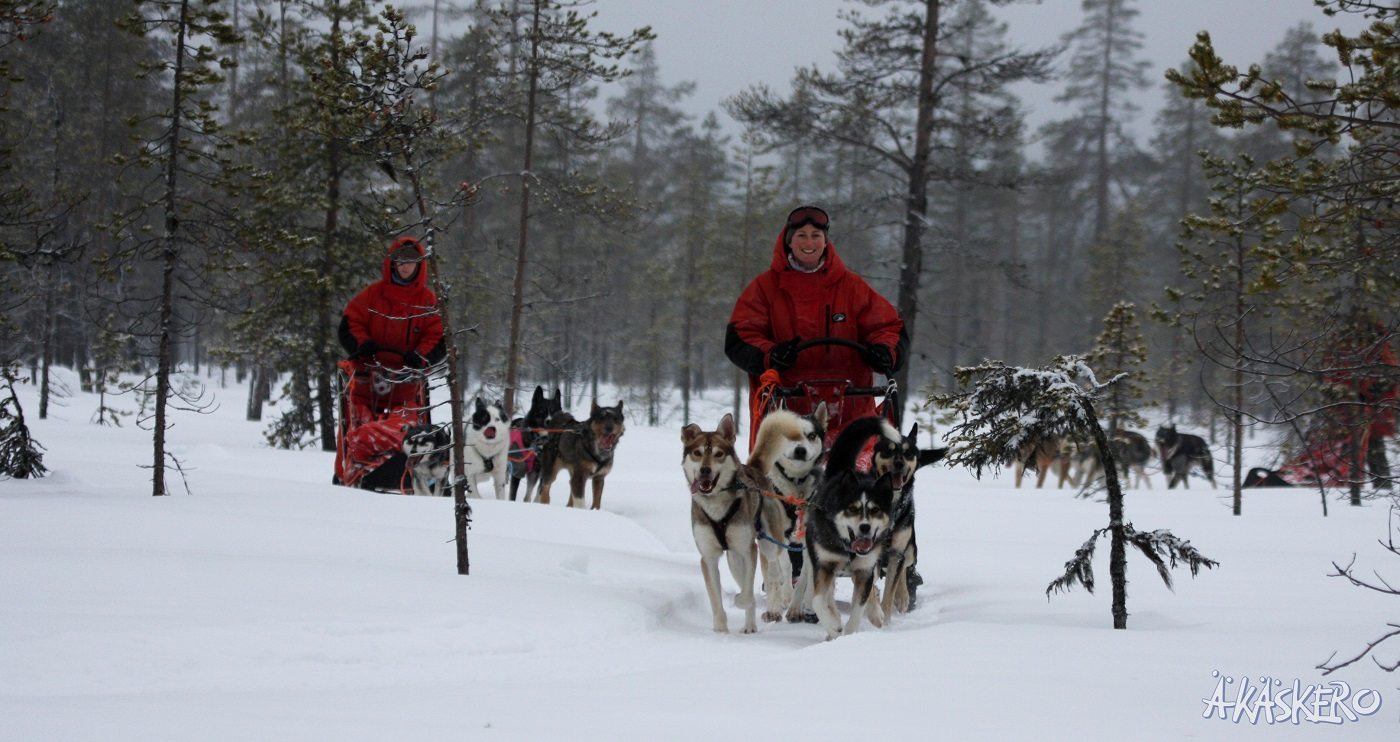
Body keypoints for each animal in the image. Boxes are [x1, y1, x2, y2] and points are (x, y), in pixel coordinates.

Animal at [683, 411, 761, 632]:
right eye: (697, 453)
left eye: (718, 454)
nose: (705, 470)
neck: (716, 506)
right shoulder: (708, 557)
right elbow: (714, 598)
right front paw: (720, 628)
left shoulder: (748, 550)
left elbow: (747, 594)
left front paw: (740, 601)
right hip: (733, 560)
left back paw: (750, 624)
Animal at [750, 400, 823, 621]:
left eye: (811, 435)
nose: (800, 450)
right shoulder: (772, 536)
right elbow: (778, 571)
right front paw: (774, 608)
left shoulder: (810, 540)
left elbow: (806, 579)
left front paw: (799, 608)